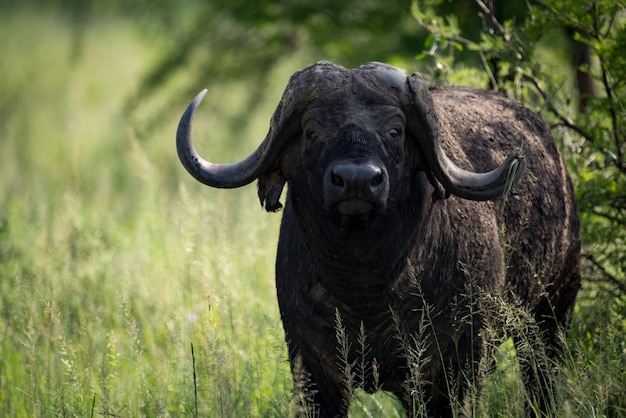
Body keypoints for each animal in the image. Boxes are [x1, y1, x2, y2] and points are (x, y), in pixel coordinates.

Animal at [176, 60, 580, 416]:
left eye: (395, 131)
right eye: (312, 132)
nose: (356, 180)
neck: (366, 289)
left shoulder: (458, 365)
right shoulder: (312, 368)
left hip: (551, 317)